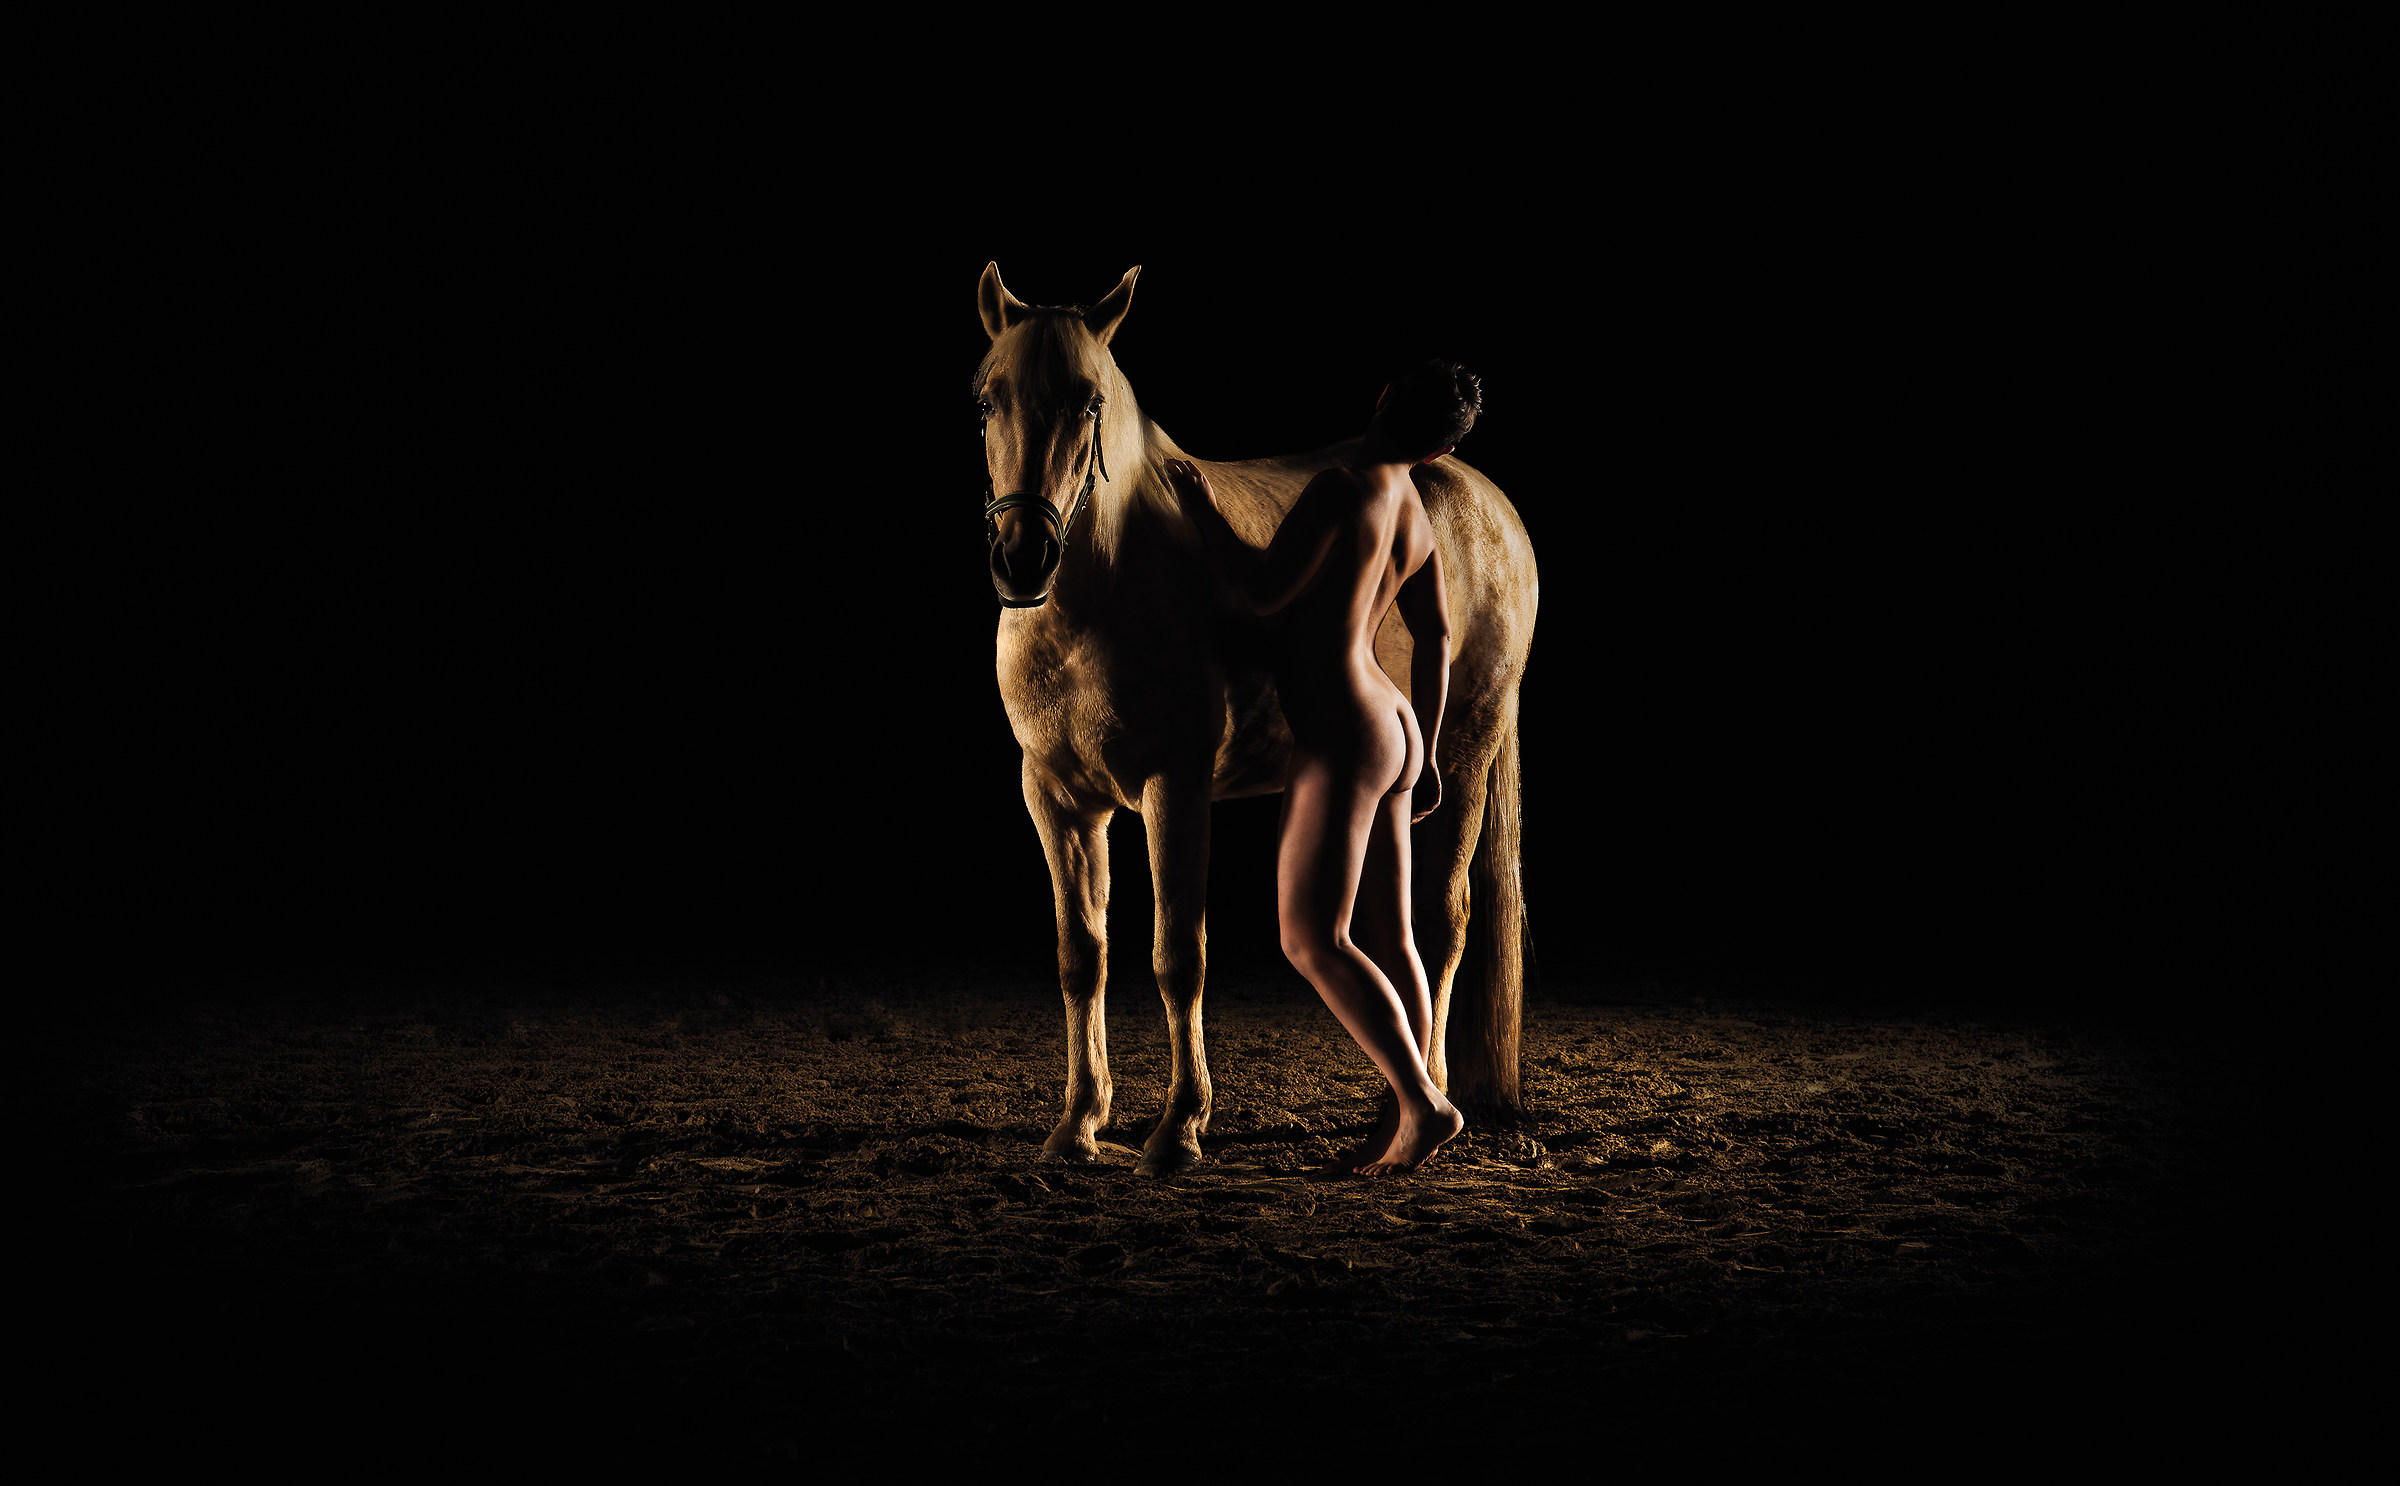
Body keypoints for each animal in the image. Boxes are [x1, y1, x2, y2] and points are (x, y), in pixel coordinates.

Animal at [974, 263, 1538, 1176]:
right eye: (987, 400)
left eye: (1090, 403)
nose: (1024, 558)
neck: (1105, 592)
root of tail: (1493, 505)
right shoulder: (1057, 799)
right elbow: (1081, 956)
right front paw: (1079, 1123)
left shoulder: (1174, 786)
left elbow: (1179, 954)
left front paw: (1178, 1129)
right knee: (1391, 938)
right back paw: (1396, 1112)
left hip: (1466, 754)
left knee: (1443, 923)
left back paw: (1429, 1101)